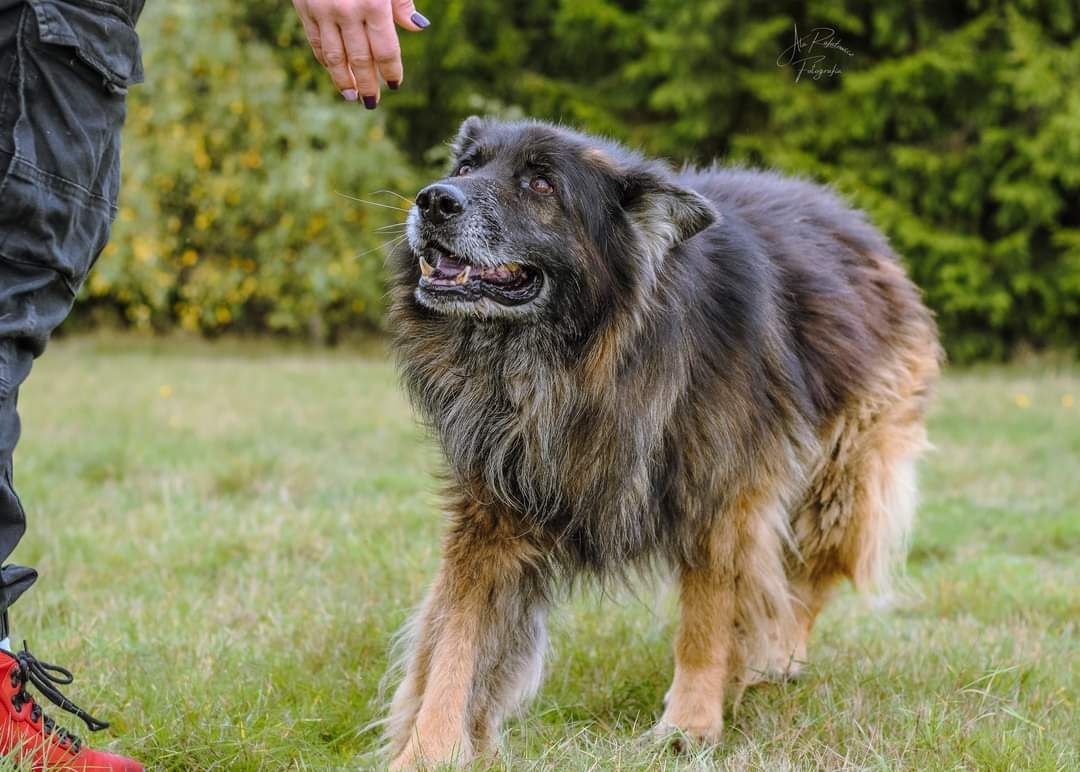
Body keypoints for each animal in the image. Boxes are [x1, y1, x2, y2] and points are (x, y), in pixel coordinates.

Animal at [384, 116, 941, 768]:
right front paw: (429, 747)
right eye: (468, 167)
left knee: (809, 577)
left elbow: (705, 621)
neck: (578, 359)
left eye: (542, 184)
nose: (434, 200)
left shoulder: (723, 498)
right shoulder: (493, 512)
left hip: (841, 477)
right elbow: (457, 640)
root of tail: (852, 219)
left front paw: (689, 726)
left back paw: (776, 661)